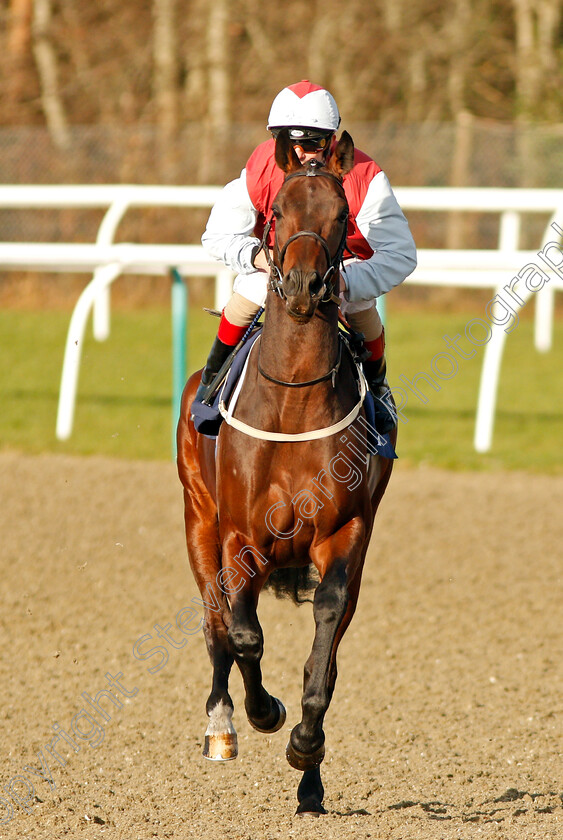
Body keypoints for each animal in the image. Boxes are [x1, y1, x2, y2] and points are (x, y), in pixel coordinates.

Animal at [177, 130, 396, 812]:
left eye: (343, 215)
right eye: (277, 212)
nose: (301, 285)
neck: (295, 405)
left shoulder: (345, 535)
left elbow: (324, 648)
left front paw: (305, 747)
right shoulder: (239, 536)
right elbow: (243, 635)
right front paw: (263, 712)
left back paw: (310, 785)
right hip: (198, 520)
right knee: (215, 622)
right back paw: (221, 725)